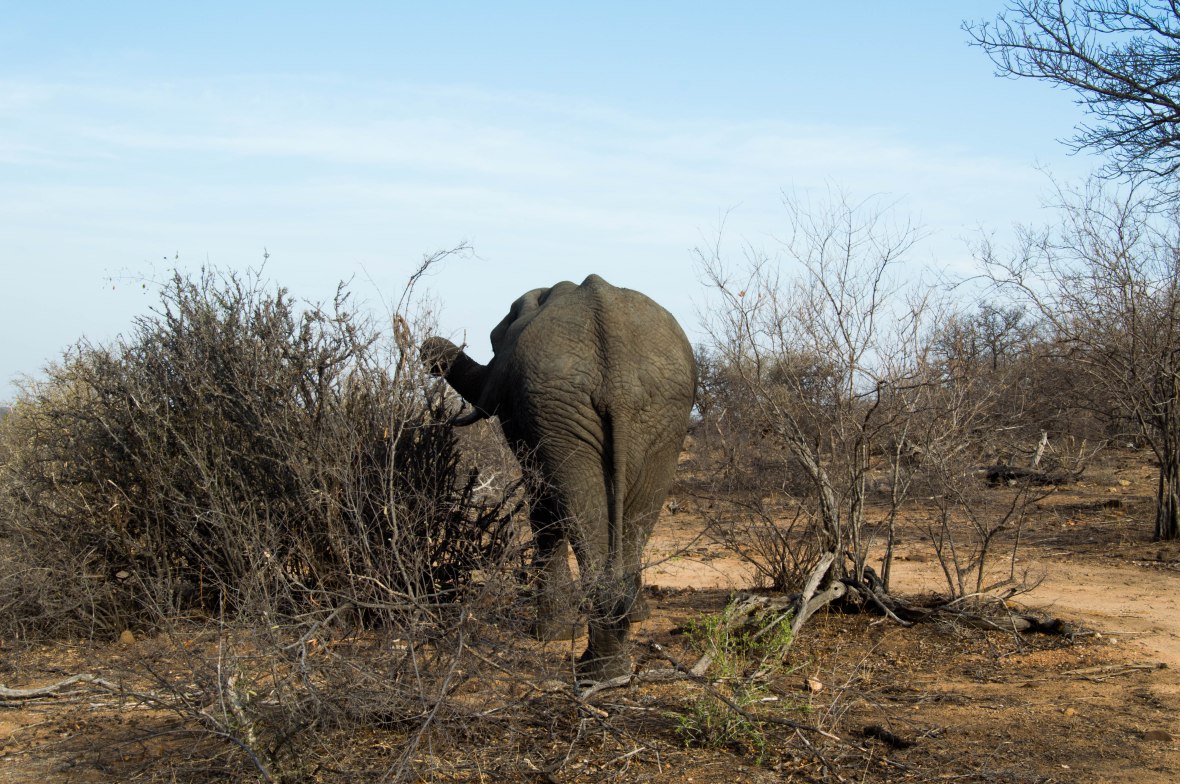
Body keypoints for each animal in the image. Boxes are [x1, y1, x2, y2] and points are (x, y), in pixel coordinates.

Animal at [421, 274, 695, 682]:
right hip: (655, 412)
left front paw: (550, 635)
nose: (427, 349)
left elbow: (543, 510)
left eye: (493, 342)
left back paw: (596, 669)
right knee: (635, 514)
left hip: (570, 410)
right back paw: (613, 659)